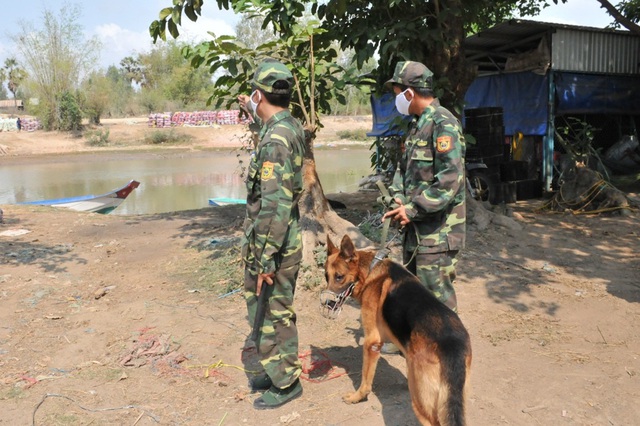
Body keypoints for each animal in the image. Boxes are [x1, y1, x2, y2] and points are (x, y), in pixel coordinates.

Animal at [324, 235, 470, 424]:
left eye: (339, 277)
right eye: (326, 276)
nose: (327, 303)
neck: (370, 270)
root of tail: (452, 345)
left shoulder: (371, 343)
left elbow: (365, 379)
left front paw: (357, 397)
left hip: (421, 401)